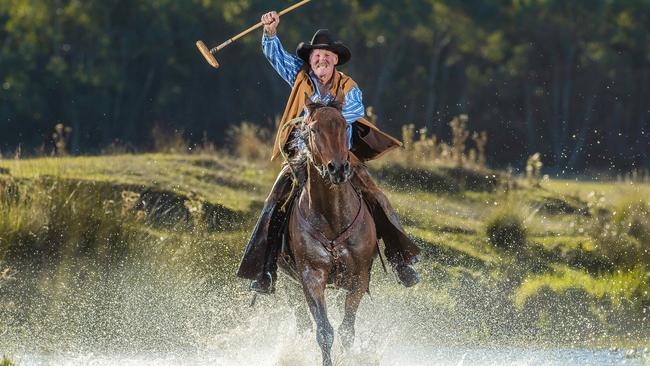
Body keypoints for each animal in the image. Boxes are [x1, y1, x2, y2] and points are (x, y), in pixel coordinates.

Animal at [280, 95, 378, 366]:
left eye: (344, 126)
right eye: (313, 129)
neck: (332, 217)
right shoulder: (311, 276)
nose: (338, 169)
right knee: (302, 322)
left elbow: (347, 330)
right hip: (289, 284)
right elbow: (324, 331)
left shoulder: (359, 277)